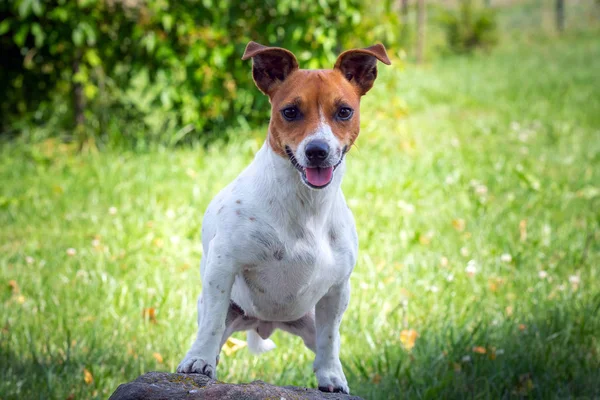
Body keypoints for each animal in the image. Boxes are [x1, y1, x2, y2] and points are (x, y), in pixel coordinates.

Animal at [176, 41, 392, 394]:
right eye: (290, 111)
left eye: (344, 111)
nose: (317, 150)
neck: (305, 205)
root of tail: (267, 323)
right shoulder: (223, 267)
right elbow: (210, 325)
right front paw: (199, 361)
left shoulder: (337, 290)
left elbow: (330, 340)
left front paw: (331, 376)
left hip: (309, 321)